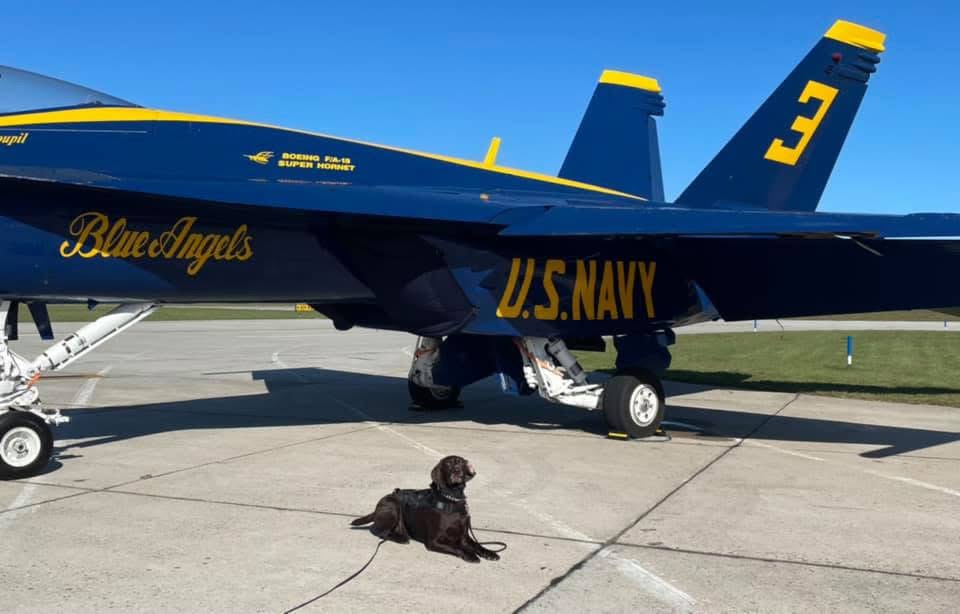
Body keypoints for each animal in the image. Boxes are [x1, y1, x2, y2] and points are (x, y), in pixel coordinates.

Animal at [351, 455, 500, 563]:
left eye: (461, 463)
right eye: (448, 464)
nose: (457, 470)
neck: (452, 498)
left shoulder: (464, 536)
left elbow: (477, 545)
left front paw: (489, 552)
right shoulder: (433, 541)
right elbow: (456, 547)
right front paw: (470, 555)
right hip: (393, 506)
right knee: (378, 530)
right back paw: (401, 538)